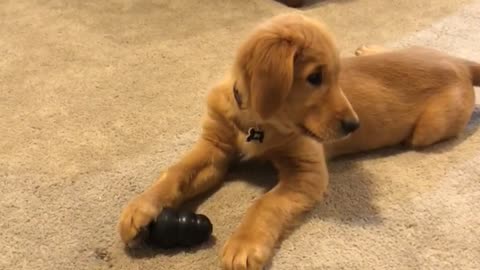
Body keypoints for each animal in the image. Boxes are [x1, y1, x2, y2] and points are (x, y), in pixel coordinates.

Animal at [117, 13, 480, 268]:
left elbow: (264, 203)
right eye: (315, 78)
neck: (258, 122)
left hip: (426, 132)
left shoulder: (307, 172)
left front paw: (244, 245)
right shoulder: (214, 147)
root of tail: (460, 64)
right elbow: (175, 172)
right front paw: (139, 208)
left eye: (336, 77)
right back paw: (368, 48)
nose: (354, 125)